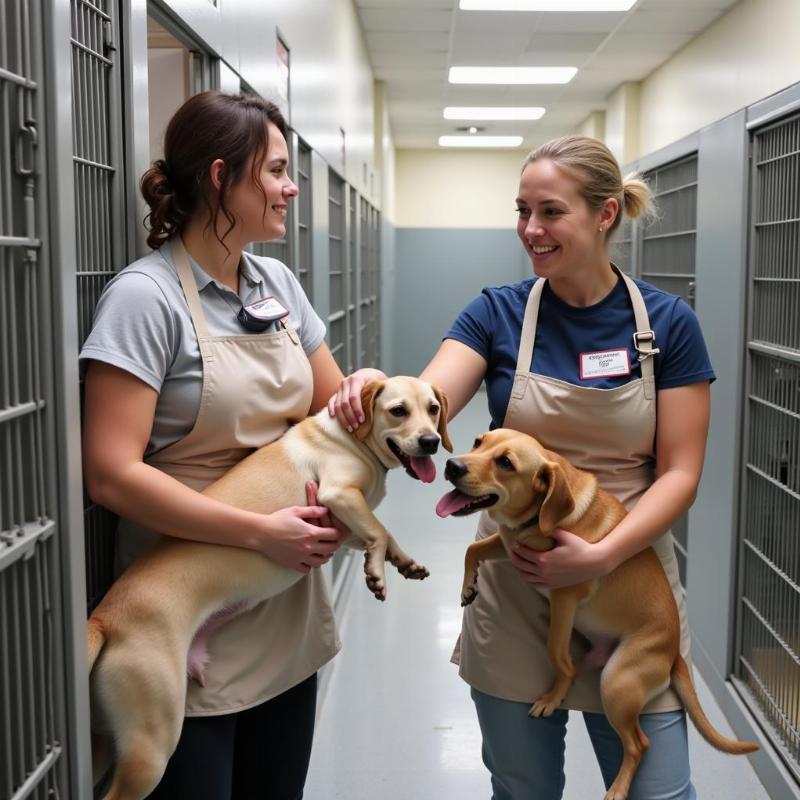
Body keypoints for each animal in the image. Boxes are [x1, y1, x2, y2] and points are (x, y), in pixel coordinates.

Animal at [89, 376, 450, 800]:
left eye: (433, 409)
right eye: (398, 411)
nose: (431, 442)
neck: (349, 438)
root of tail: (105, 618)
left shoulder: (344, 524)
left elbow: (384, 533)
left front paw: (403, 562)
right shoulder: (338, 494)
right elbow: (377, 530)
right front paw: (376, 572)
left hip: (104, 740)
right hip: (151, 745)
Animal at [438, 432, 756, 800]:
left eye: (506, 463)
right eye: (479, 442)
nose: (451, 465)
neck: (540, 514)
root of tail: (674, 654)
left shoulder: (564, 594)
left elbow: (555, 652)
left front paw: (553, 697)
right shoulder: (509, 546)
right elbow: (472, 549)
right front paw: (467, 586)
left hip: (617, 682)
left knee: (639, 744)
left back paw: (618, 788)